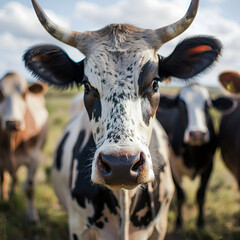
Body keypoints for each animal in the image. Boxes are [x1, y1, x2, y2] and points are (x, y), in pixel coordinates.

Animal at [0, 71, 48, 223]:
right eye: (0, 93)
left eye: (24, 93)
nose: (13, 123)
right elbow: (3, 180)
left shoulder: (34, 158)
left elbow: (29, 187)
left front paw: (32, 215)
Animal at [156, 83, 236, 228]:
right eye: (181, 105)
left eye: (208, 105)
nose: (197, 134)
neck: (193, 153)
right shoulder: (173, 166)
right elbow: (181, 194)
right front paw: (179, 222)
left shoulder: (209, 166)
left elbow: (200, 194)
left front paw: (200, 222)